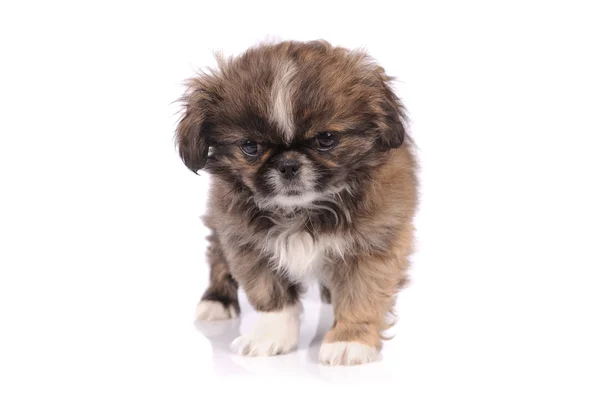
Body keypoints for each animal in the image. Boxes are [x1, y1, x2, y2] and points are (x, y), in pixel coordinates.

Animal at [173, 39, 418, 366]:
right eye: (250, 147)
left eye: (326, 139)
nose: (288, 165)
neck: (302, 209)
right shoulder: (245, 240)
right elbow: (271, 296)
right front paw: (270, 336)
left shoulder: (374, 243)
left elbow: (360, 296)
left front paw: (349, 340)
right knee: (216, 256)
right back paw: (216, 300)